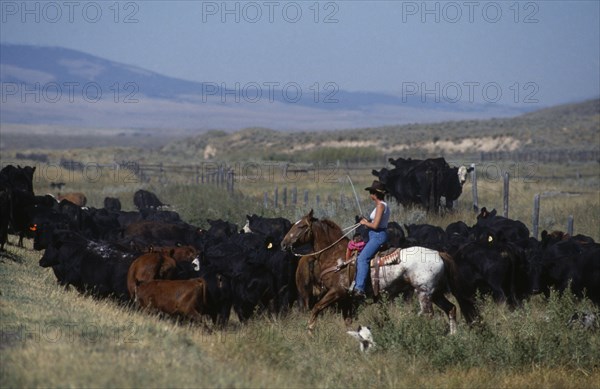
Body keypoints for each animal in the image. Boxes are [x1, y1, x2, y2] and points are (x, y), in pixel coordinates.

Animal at [282, 209, 468, 334]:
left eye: (301, 226)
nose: (283, 243)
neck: (336, 255)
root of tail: (439, 253)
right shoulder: (346, 298)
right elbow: (347, 321)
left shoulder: (337, 292)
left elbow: (316, 308)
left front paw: (310, 332)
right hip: (435, 293)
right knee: (451, 309)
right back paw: (453, 336)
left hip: (424, 292)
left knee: (428, 314)